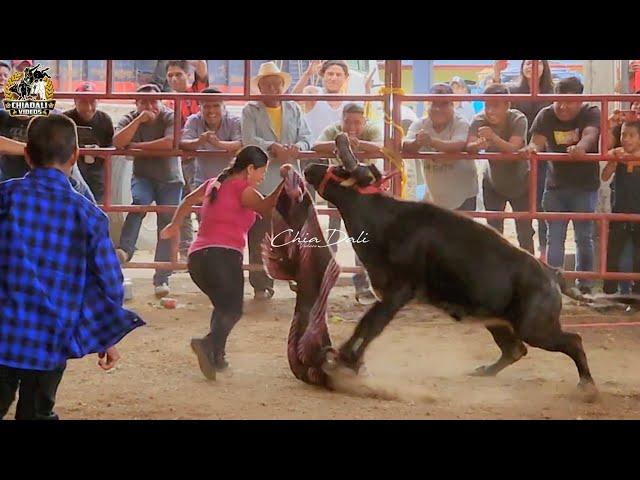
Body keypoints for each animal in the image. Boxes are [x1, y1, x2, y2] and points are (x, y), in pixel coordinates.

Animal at [302, 133, 624, 396]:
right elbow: (368, 328)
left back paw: (587, 385)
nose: (310, 168)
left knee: (572, 341)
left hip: (536, 327)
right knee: (515, 349)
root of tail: (552, 273)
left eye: (341, 170)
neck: (385, 219)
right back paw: (484, 372)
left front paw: (341, 361)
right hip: (498, 321)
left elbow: (368, 327)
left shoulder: (397, 293)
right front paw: (348, 362)